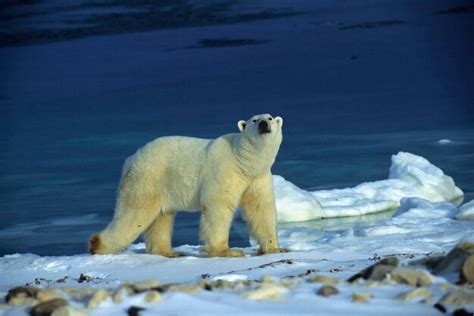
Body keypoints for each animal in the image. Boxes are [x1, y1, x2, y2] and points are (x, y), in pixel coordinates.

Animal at [90, 113, 286, 256]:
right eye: (254, 120)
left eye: (269, 118)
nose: (263, 124)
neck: (242, 162)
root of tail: (130, 159)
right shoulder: (223, 171)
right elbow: (218, 207)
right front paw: (227, 251)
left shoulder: (257, 178)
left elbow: (261, 208)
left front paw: (275, 248)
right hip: (147, 178)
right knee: (134, 214)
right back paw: (97, 245)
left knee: (161, 218)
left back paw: (168, 252)